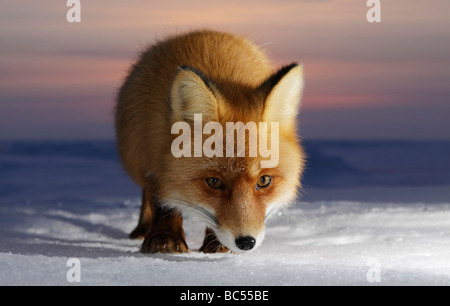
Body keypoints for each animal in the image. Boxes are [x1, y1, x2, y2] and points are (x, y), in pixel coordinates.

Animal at [116, 29, 306, 253]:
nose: (246, 242)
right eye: (214, 182)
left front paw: (216, 245)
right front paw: (164, 237)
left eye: (264, 180)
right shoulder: (151, 152)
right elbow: (161, 201)